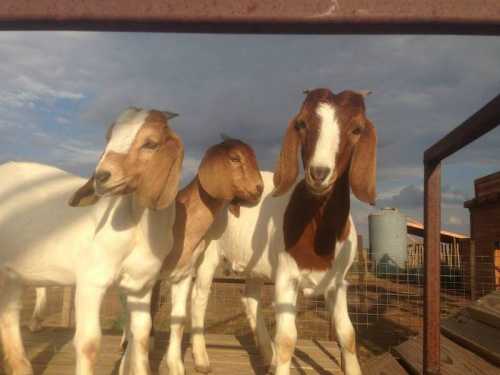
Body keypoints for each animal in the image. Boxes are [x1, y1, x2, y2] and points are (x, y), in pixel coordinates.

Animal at [0, 108, 184, 375]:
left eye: (151, 143)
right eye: (108, 138)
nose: (101, 176)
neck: (136, 225)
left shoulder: (142, 284)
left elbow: (141, 336)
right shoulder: (91, 280)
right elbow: (88, 343)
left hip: (11, 273)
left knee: (9, 315)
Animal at [189, 89, 376, 375]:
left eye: (356, 129)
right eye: (302, 124)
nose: (319, 173)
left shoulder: (338, 281)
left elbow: (348, 334)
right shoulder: (287, 277)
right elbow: (288, 338)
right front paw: (281, 358)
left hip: (255, 264)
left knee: (250, 299)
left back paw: (269, 356)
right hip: (209, 251)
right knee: (199, 298)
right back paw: (201, 359)